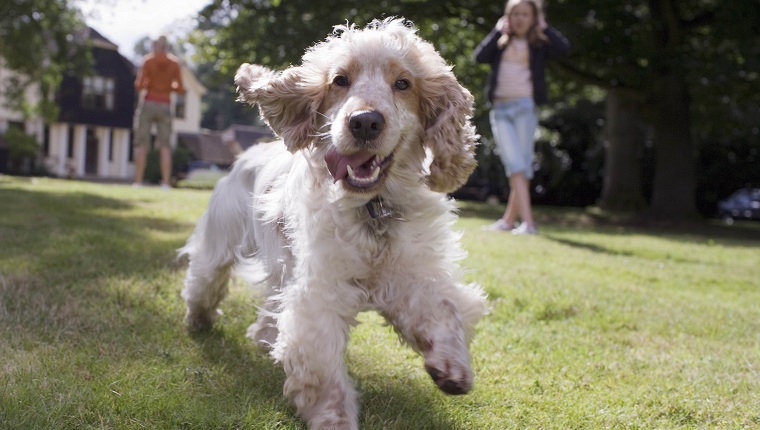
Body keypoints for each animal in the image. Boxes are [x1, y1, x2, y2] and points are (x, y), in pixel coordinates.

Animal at [181, 18, 486, 430]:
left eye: (403, 83)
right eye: (340, 80)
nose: (365, 122)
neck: (373, 209)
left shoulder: (413, 275)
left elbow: (446, 311)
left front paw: (451, 367)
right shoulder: (319, 293)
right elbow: (323, 373)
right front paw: (334, 418)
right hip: (222, 241)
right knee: (205, 278)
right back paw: (199, 319)